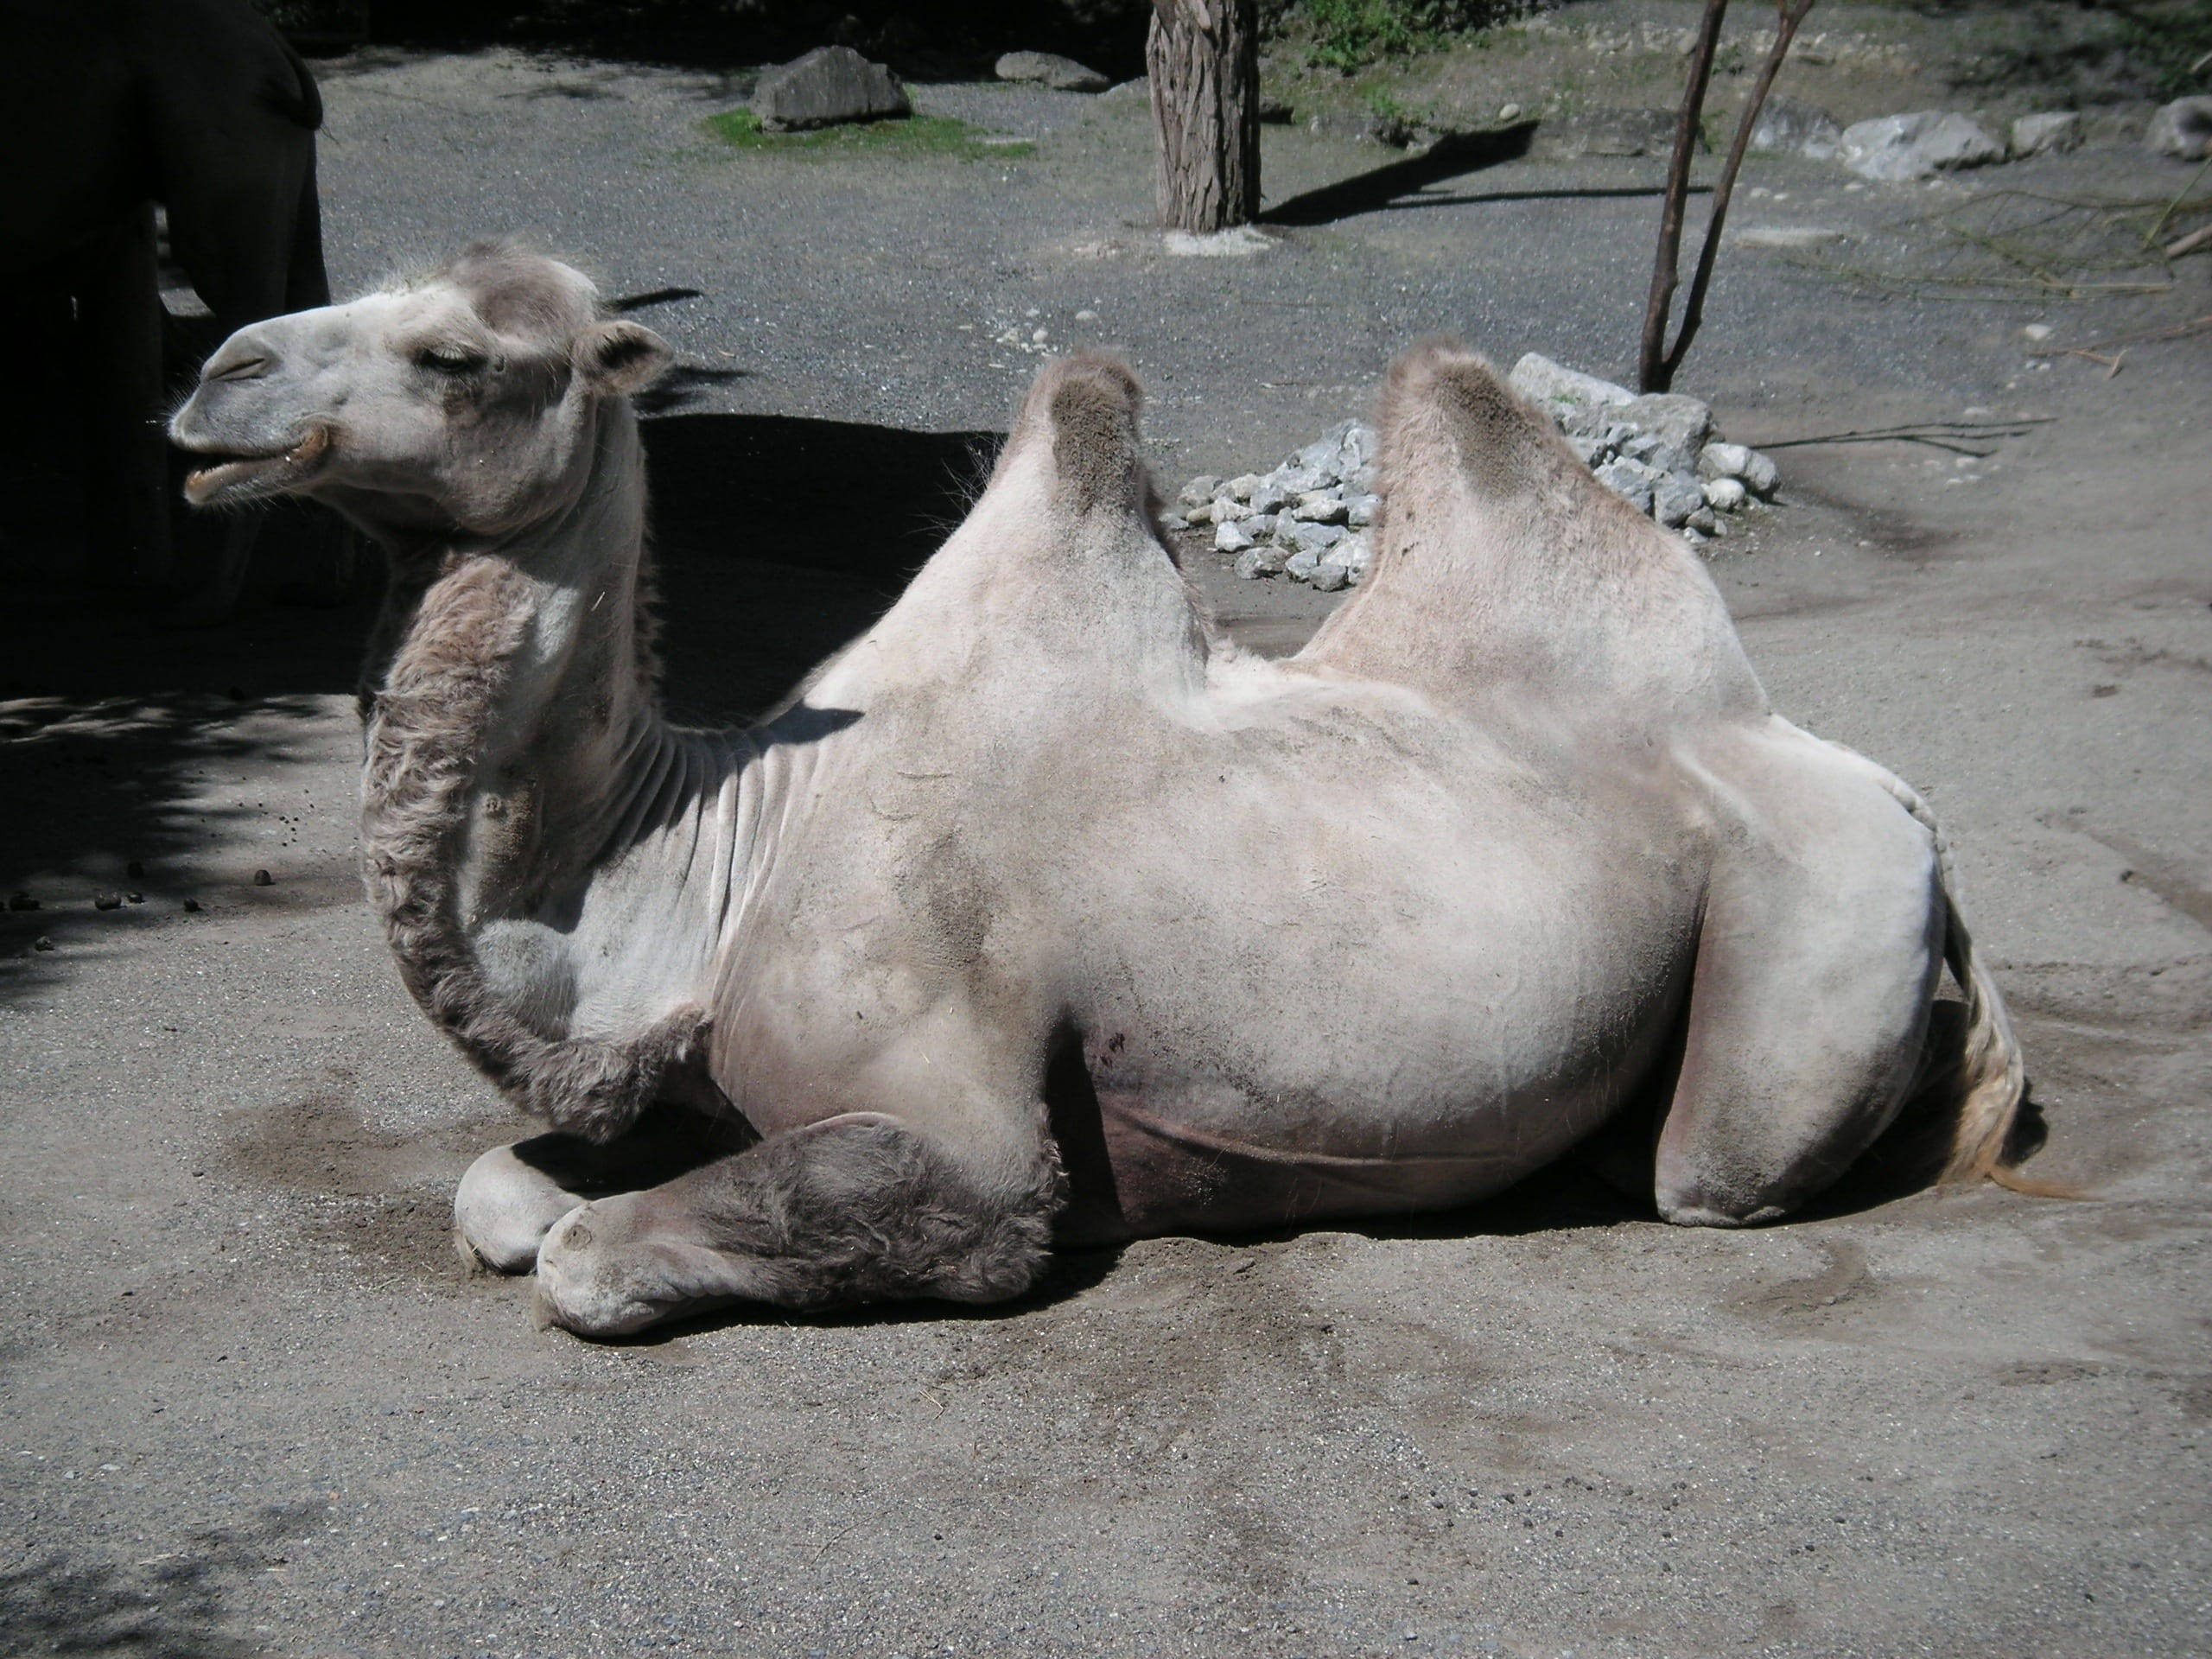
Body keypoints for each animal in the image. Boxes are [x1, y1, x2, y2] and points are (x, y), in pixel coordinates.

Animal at [169, 243, 2028, 1339]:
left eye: (461, 356)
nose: (213, 377)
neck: (718, 860)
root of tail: (1886, 788)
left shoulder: (961, 1137)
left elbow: (583, 1259)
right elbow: (497, 1191)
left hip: (1814, 917)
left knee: (1715, 1169)